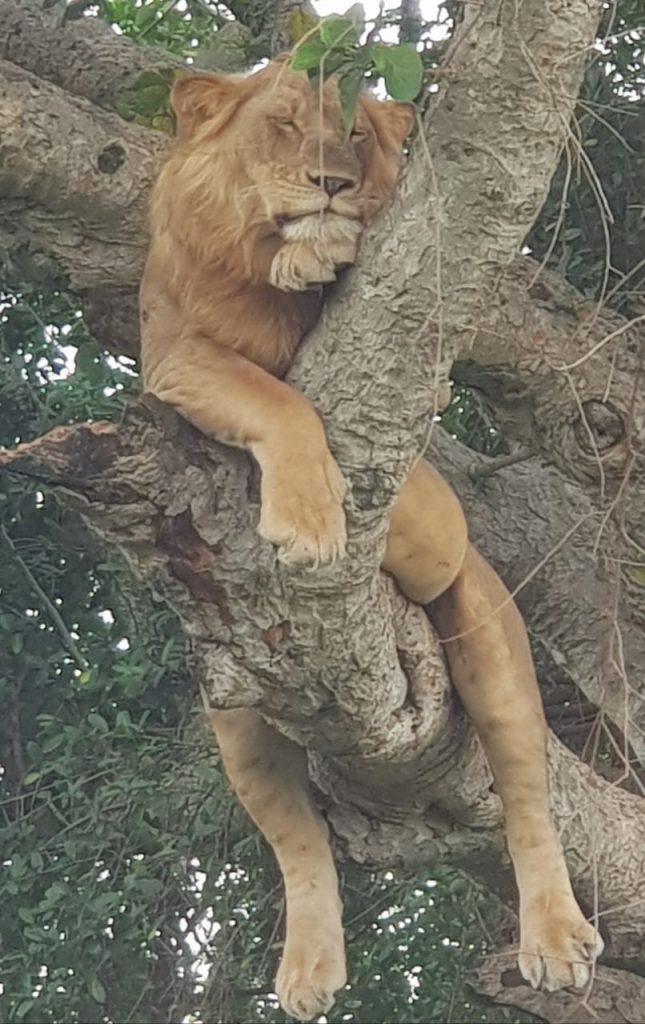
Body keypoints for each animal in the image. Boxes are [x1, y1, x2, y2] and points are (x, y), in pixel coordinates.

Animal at [140, 58, 606, 1024]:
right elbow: (272, 394)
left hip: (488, 637)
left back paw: (554, 939)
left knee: (527, 798)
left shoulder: (417, 445)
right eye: (283, 124)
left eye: (352, 132)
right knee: (298, 843)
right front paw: (309, 527)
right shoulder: (170, 351)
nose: (331, 184)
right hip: (234, 710)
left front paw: (321, 246)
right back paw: (308, 970)